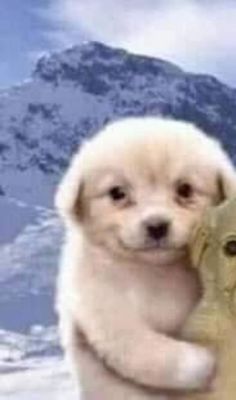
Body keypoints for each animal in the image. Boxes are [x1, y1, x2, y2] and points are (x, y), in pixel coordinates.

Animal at [54, 117, 236, 398]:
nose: (157, 225)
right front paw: (201, 362)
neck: (155, 272)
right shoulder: (102, 304)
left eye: (185, 190)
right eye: (117, 193)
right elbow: (142, 347)